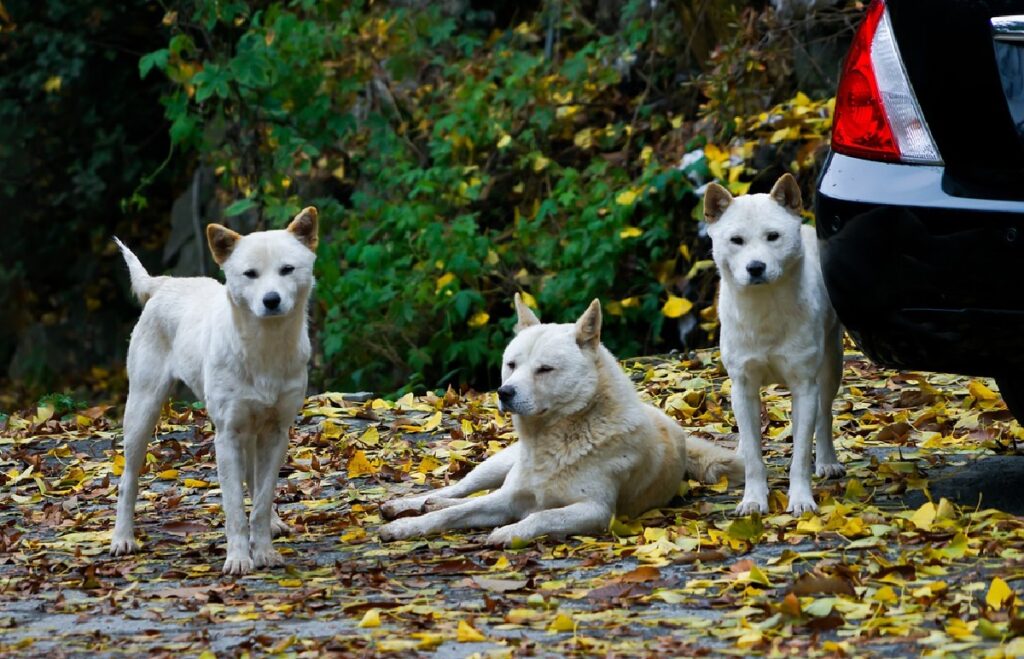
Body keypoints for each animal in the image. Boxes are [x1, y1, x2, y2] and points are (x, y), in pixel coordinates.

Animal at [107, 208, 315, 573]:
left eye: (287, 269)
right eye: (250, 274)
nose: (271, 300)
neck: (264, 350)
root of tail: (165, 283)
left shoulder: (276, 433)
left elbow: (261, 500)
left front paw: (264, 551)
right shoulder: (227, 436)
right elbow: (234, 509)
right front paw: (238, 559)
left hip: (250, 433)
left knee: (255, 482)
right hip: (142, 414)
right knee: (127, 481)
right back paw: (123, 539)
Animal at [378, 296, 745, 544]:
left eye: (544, 369)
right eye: (511, 365)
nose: (504, 392)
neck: (553, 442)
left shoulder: (595, 510)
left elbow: (542, 516)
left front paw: (510, 532)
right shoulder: (509, 498)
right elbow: (453, 513)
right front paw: (405, 527)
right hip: (495, 466)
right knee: (460, 490)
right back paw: (408, 504)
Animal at [708, 174, 843, 515]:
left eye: (773, 237)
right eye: (736, 240)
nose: (755, 267)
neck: (764, 312)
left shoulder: (804, 386)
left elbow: (801, 455)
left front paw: (801, 500)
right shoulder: (743, 386)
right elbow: (755, 457)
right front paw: (753, 500)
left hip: (831, 367)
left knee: (825, 416)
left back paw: (828, 461)